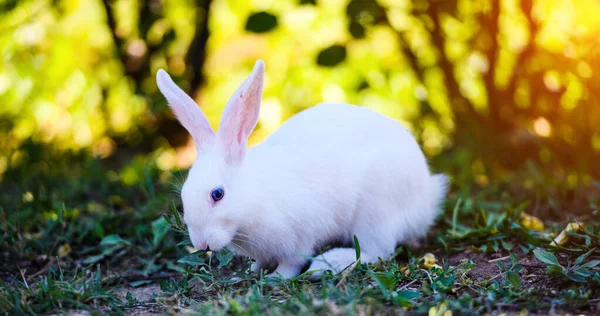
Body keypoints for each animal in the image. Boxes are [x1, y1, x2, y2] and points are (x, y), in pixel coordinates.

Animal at [157, 59, 448, 278]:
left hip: (375, 210)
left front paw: (276, 278)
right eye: (183, 195)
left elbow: (291, 263)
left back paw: (328, 264)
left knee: (376, 251)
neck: (255, 198)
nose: (201, 244)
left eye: (217, 194)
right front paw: (252, 271)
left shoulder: (298, 237)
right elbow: (261, 261)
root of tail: (426, 199)